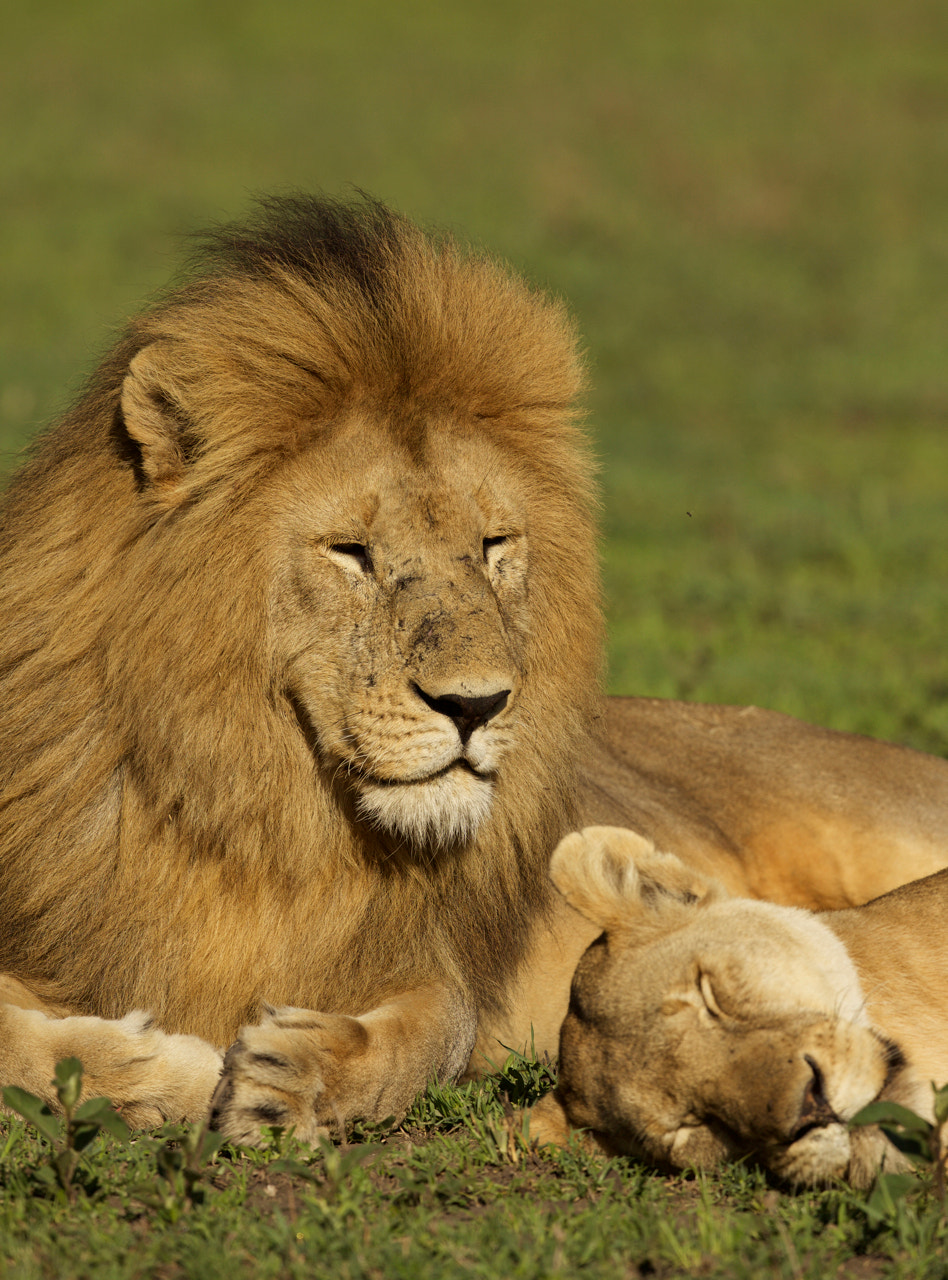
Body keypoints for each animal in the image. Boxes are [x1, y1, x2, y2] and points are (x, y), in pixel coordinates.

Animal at [1, 194, 948, 1142]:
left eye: (493, 545)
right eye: (352, 552)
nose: (477, 705)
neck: (260, 809)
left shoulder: (436, 959)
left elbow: (429, 1029)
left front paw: (294, 1078)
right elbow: (15, 1039)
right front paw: (160, 1069)